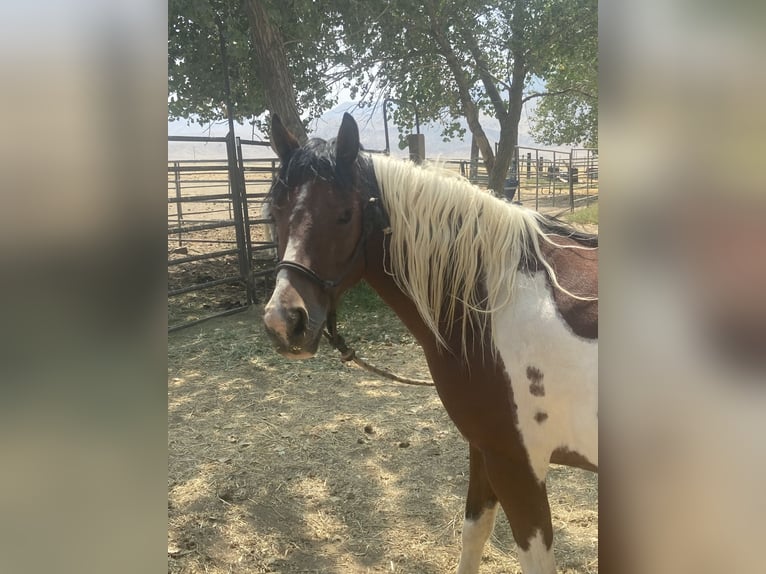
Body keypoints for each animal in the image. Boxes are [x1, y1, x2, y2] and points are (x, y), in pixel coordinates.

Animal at [262, 113, 598, 574]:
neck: (494, 304)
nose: (284, 322)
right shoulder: (485, 450)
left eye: (345, 215)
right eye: (275, 211)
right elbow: (473, 533)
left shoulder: (518, 465)